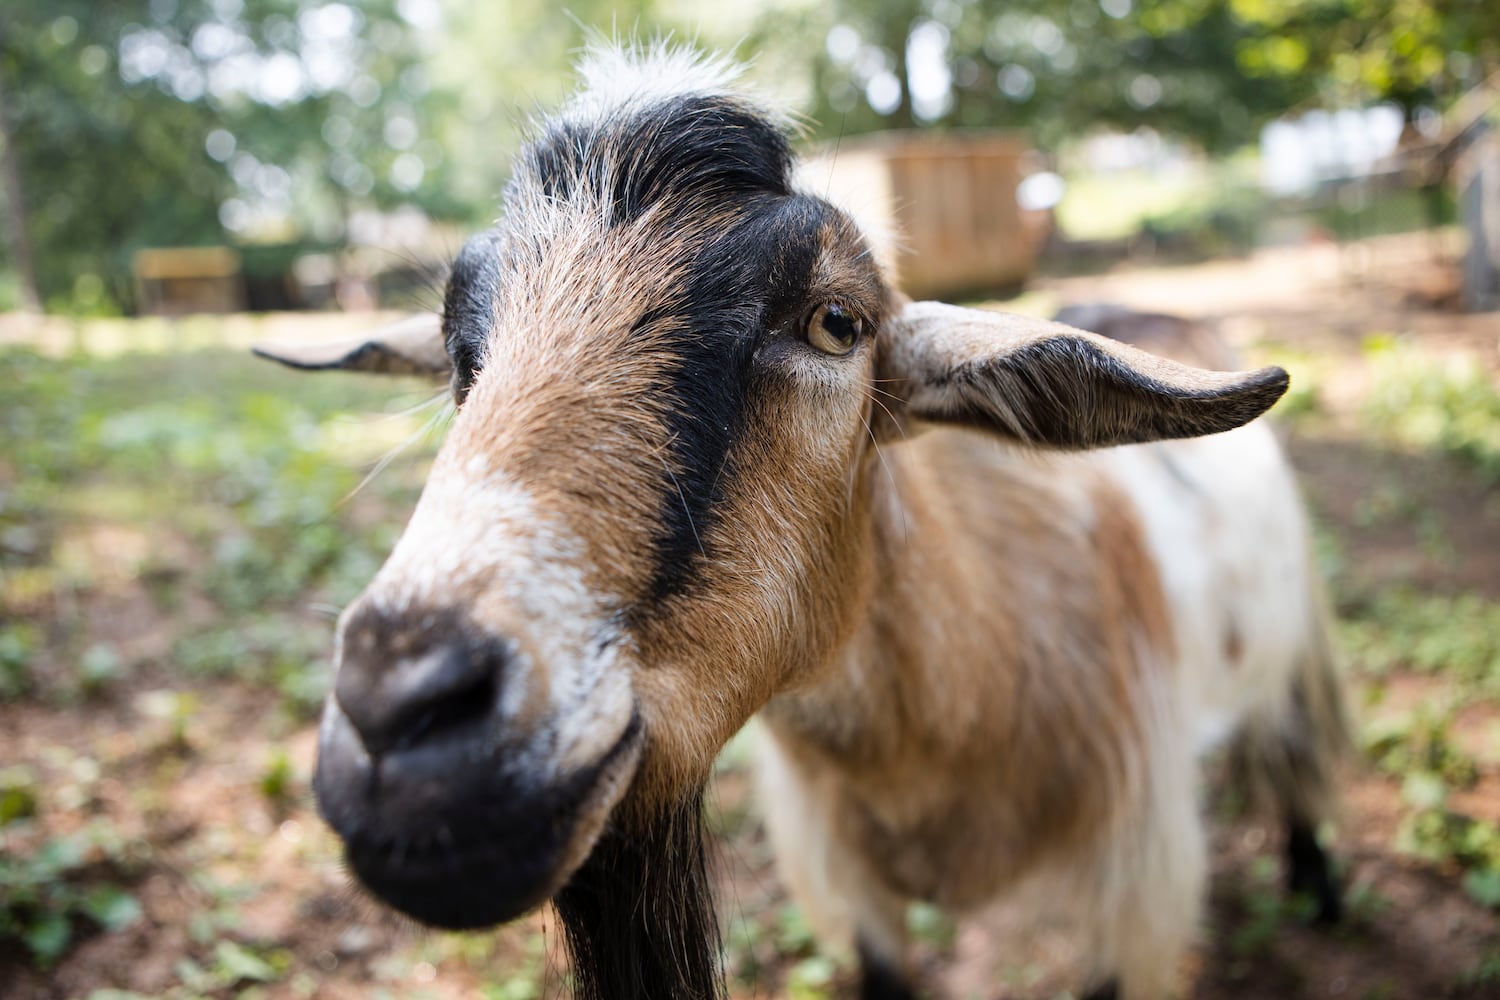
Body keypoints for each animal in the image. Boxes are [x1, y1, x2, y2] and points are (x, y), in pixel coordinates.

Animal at [255, 43, 1350, 1000]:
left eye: (836, 322)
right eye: (459, 351)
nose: (400, 712)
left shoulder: (1136, 878)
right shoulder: (846, 880)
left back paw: (1319, 886)